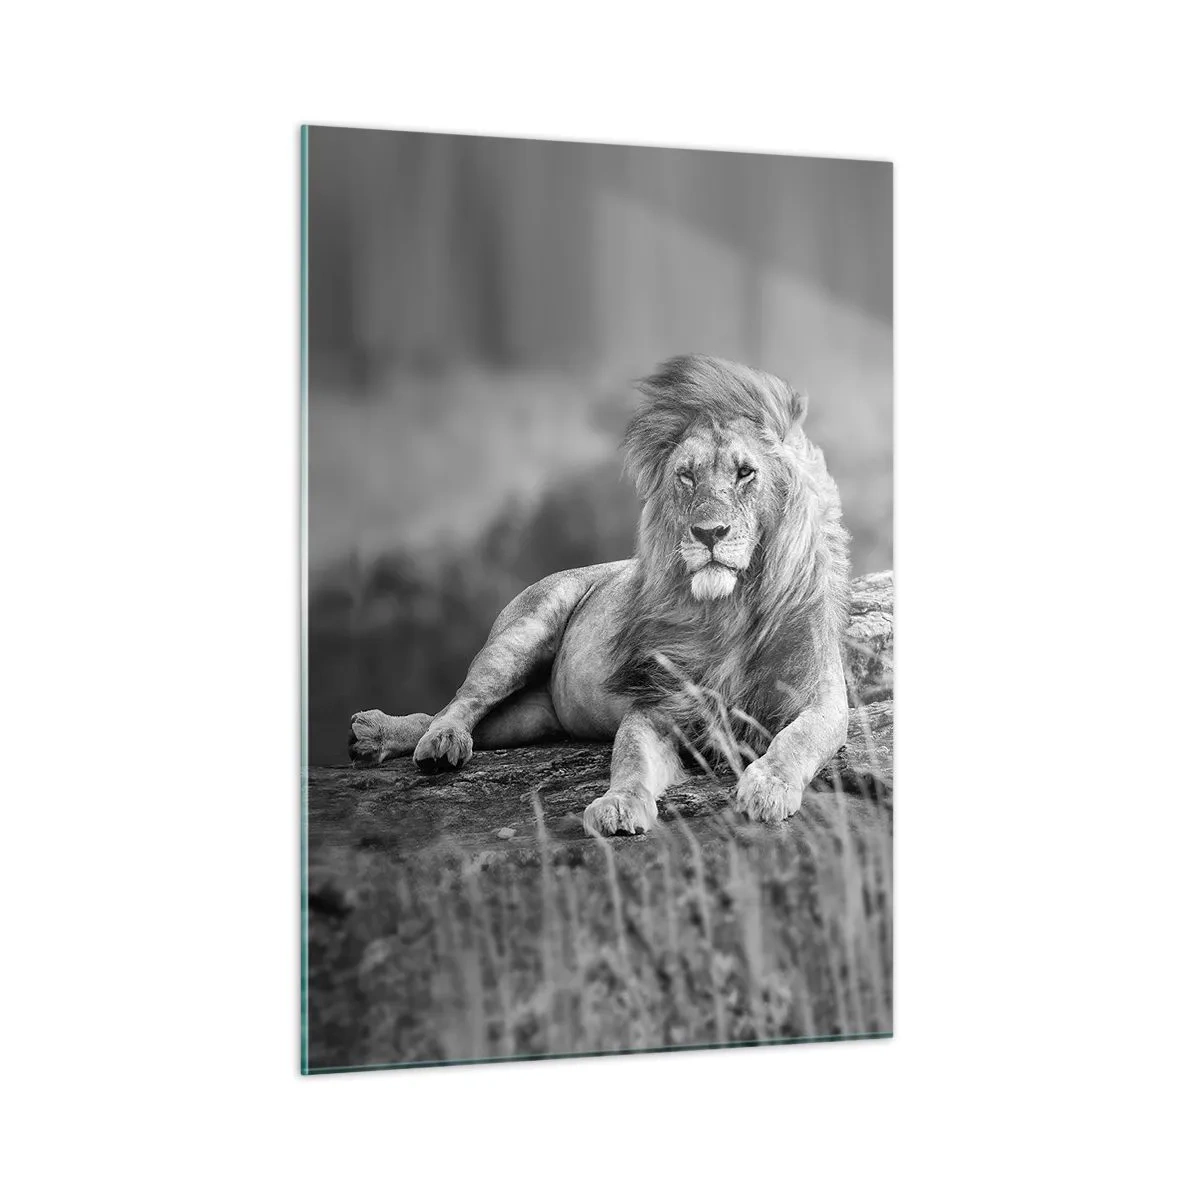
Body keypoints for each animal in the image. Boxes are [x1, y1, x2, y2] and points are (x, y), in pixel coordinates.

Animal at [348, 354, 851, 835]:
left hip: (529, 718)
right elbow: (629, 758)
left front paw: (768, 788)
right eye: (686, 477)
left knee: (453, 717)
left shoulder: (821, 698)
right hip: (520, 636)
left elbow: (796, 740)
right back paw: (423, 740)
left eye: (746, 472)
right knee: (458, 703)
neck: (730, 609)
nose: (708, 533)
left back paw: (378, 736)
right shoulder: (655, 705)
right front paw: (618, 806)